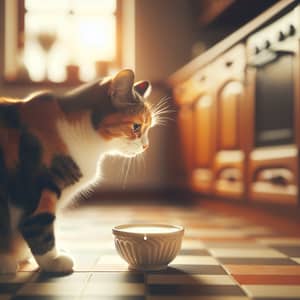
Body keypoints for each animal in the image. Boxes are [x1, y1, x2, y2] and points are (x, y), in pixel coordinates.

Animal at [0, 69, 154, 274]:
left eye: (149, 128)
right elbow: (38, 222)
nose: (146, 146)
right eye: (136, 127)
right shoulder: (34, 186)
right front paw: (53, 261)